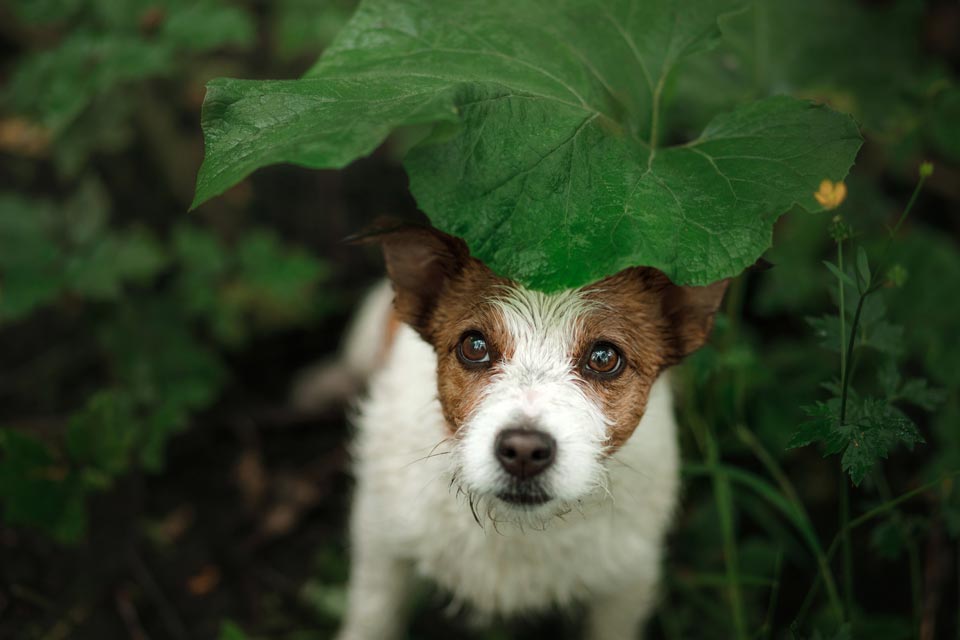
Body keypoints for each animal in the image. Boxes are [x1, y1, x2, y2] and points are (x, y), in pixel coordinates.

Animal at [316, 226, 728, 640]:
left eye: (604, 358)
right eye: (474, 346)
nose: (524, 451)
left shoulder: (627, 583)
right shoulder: (381, 540)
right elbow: (372, 616)